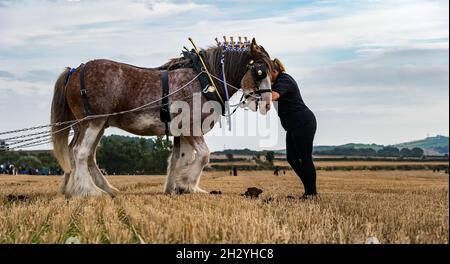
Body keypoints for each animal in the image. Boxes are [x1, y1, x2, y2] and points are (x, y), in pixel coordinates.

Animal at [51, 38, 272, 197]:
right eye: (260, 71)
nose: (268, 104)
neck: (203, 79)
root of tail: (76, 70)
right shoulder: (191, 127)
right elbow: (203, 155)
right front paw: (186, 184)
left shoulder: (181, 132)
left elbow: (179, 159)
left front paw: (177, 188)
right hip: (93, 122)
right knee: (80, 153)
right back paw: (89, 191)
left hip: (93, 125)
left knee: (83, 154)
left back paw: (84, 189)